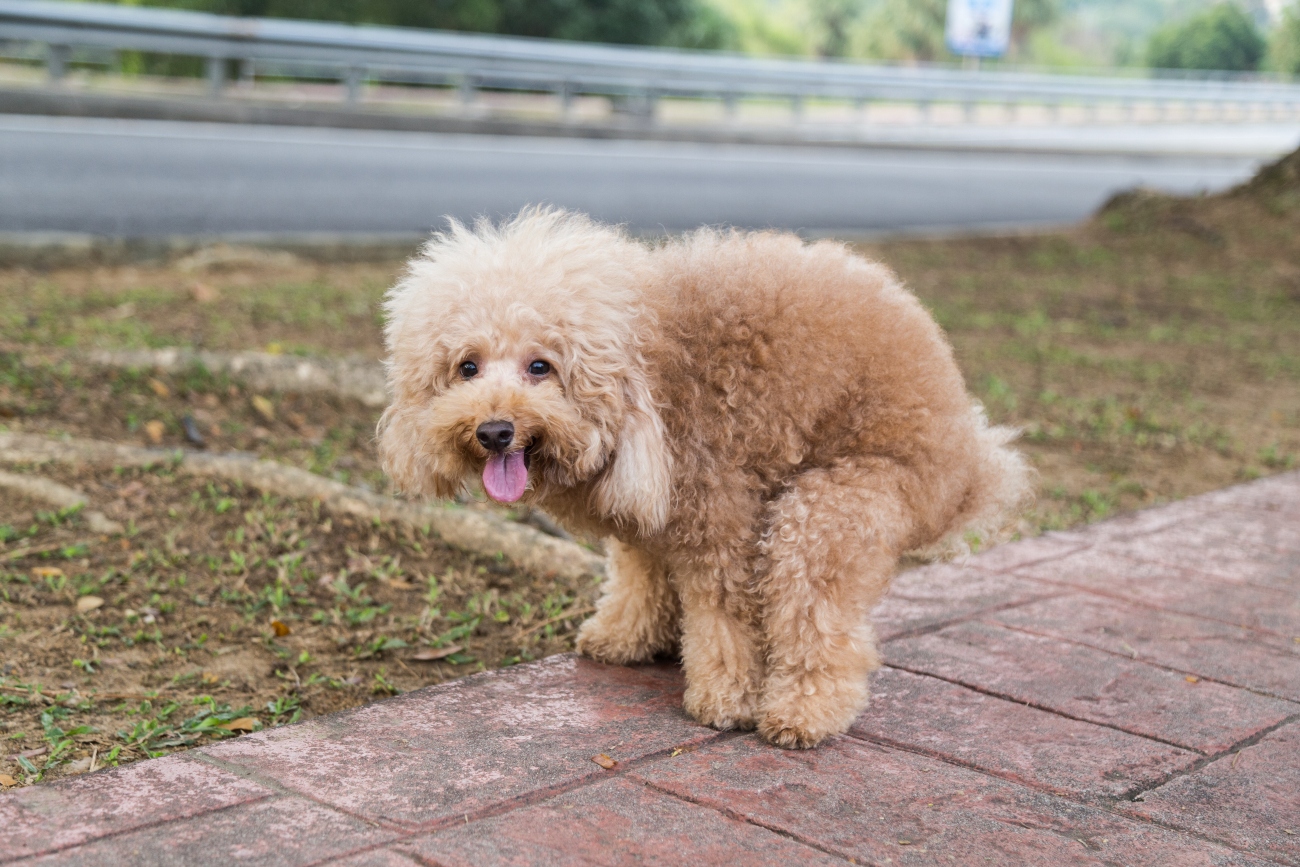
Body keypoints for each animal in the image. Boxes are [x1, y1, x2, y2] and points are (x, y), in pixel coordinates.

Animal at [379, 206, 1029, 748]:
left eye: (541, 367)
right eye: (467, 367)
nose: (494, 431)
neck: (648, 365)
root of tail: (970, 464)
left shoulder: (719, 515)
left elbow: (724, 617)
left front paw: (726, 699)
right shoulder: (645, 513)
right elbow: (640, 573)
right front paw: (625, 637)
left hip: (836, 504)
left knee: (815, 612)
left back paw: (801, 713)